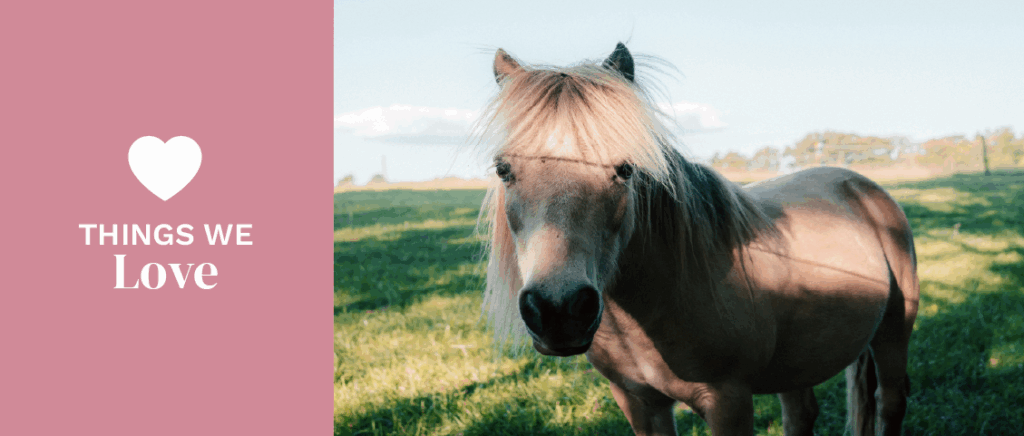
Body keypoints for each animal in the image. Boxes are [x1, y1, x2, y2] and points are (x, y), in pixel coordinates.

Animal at [475, 43, 919, 436]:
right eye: (503, 169)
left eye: (625, 168)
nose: (559, 311)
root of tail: (860, 185)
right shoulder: (639, 402)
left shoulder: (728, 403)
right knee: (801, 415)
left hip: (894, 333)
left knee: (890, 403)